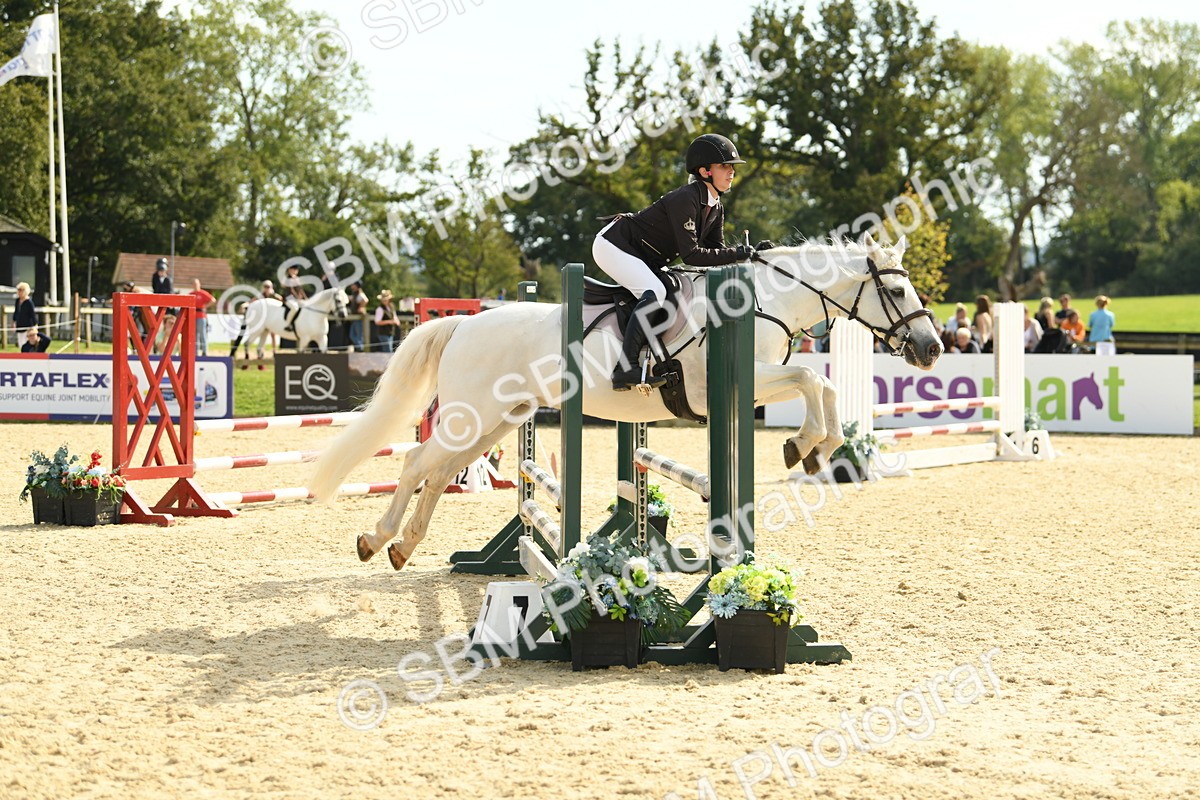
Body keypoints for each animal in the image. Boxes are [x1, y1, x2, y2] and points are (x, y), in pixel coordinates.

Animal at [309, 232, 943, 570]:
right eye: (896, 288)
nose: (932, 349)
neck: (766, 298)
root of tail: (464, 324)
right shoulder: (735, 384)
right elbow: (812, 377)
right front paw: (807, 444)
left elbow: (821, 383)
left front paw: (814, 449)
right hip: (473, 416)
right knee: (420, 462)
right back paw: (375, 540)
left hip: (499, 421)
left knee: (440, 473)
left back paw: (401, 547)